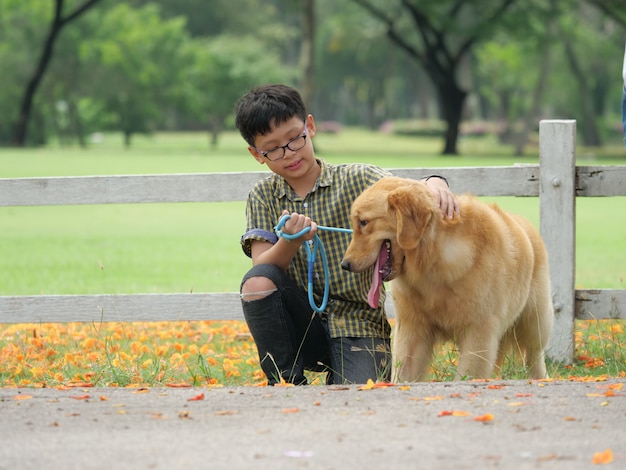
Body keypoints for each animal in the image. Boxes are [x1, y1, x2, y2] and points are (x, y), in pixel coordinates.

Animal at [342, 176, 552, 382]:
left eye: (363, 222)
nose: (345, 265)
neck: (434, 259)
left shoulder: (479, 332)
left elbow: (466, 375)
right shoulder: (412, 329)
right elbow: (403, 374)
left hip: (535, 321)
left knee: (535, 354)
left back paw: (541, 378)